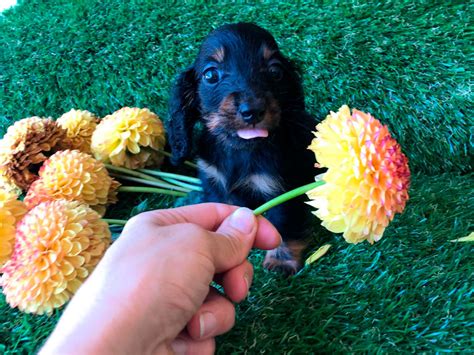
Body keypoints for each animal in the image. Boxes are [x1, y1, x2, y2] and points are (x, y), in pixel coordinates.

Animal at [167, 23, 318, 278]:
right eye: (210, 75)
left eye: (275, 72)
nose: (253, 110)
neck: (240, 151)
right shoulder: (215, 185)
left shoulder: (280, 188)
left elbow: (282, 224)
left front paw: (281, 260)